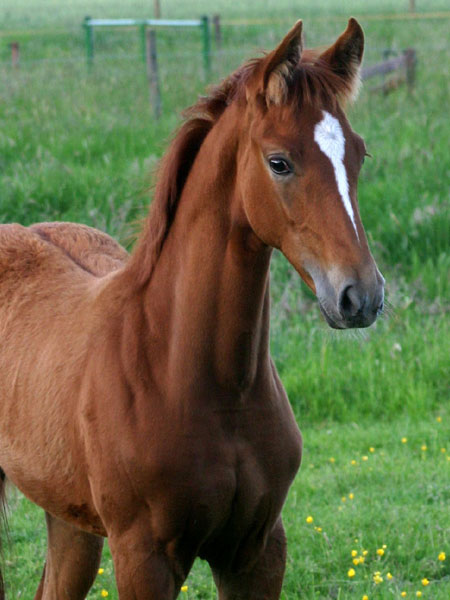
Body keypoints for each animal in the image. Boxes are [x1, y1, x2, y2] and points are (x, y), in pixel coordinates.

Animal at [0, 18, 384, 599]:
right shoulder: (144, 557)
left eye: (358, 154)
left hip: (69, 518)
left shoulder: (257, 553)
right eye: (279, 162)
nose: (361, 296)